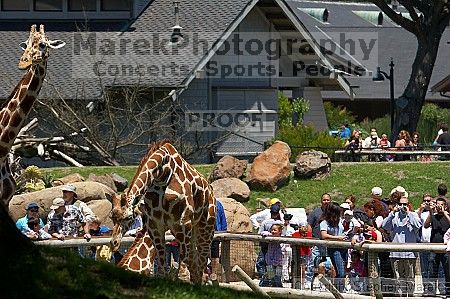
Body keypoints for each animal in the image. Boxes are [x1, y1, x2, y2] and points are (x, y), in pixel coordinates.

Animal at [108, 139, 214, 284]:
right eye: (111, 217)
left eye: (129, 217)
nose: (114, 243)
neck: (162, 175)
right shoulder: (155, 225)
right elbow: (163, 268)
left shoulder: (182, 223)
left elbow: (182, 266)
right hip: (190, 231)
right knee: (195, 265)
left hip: (205, 228)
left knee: (201, 262)